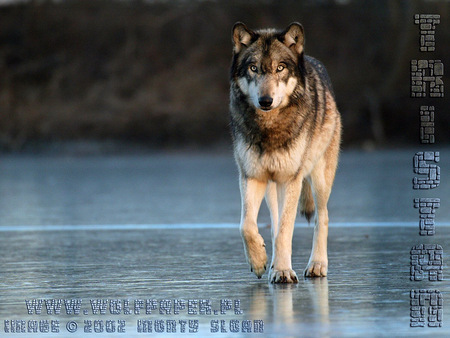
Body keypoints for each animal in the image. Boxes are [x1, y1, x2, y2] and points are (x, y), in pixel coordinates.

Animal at [232, 22, 342, 284]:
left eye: (280, 68)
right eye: (253, 68)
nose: (265, 100)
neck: (270, 127)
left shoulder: (291, 179)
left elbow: (285, 231)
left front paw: (283, 271)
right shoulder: (252, 176)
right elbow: (247, 226)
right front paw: (260, 262)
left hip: (317, 178)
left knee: (322, 217)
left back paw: (317, 265)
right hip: (272, 188)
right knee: (272, 223)